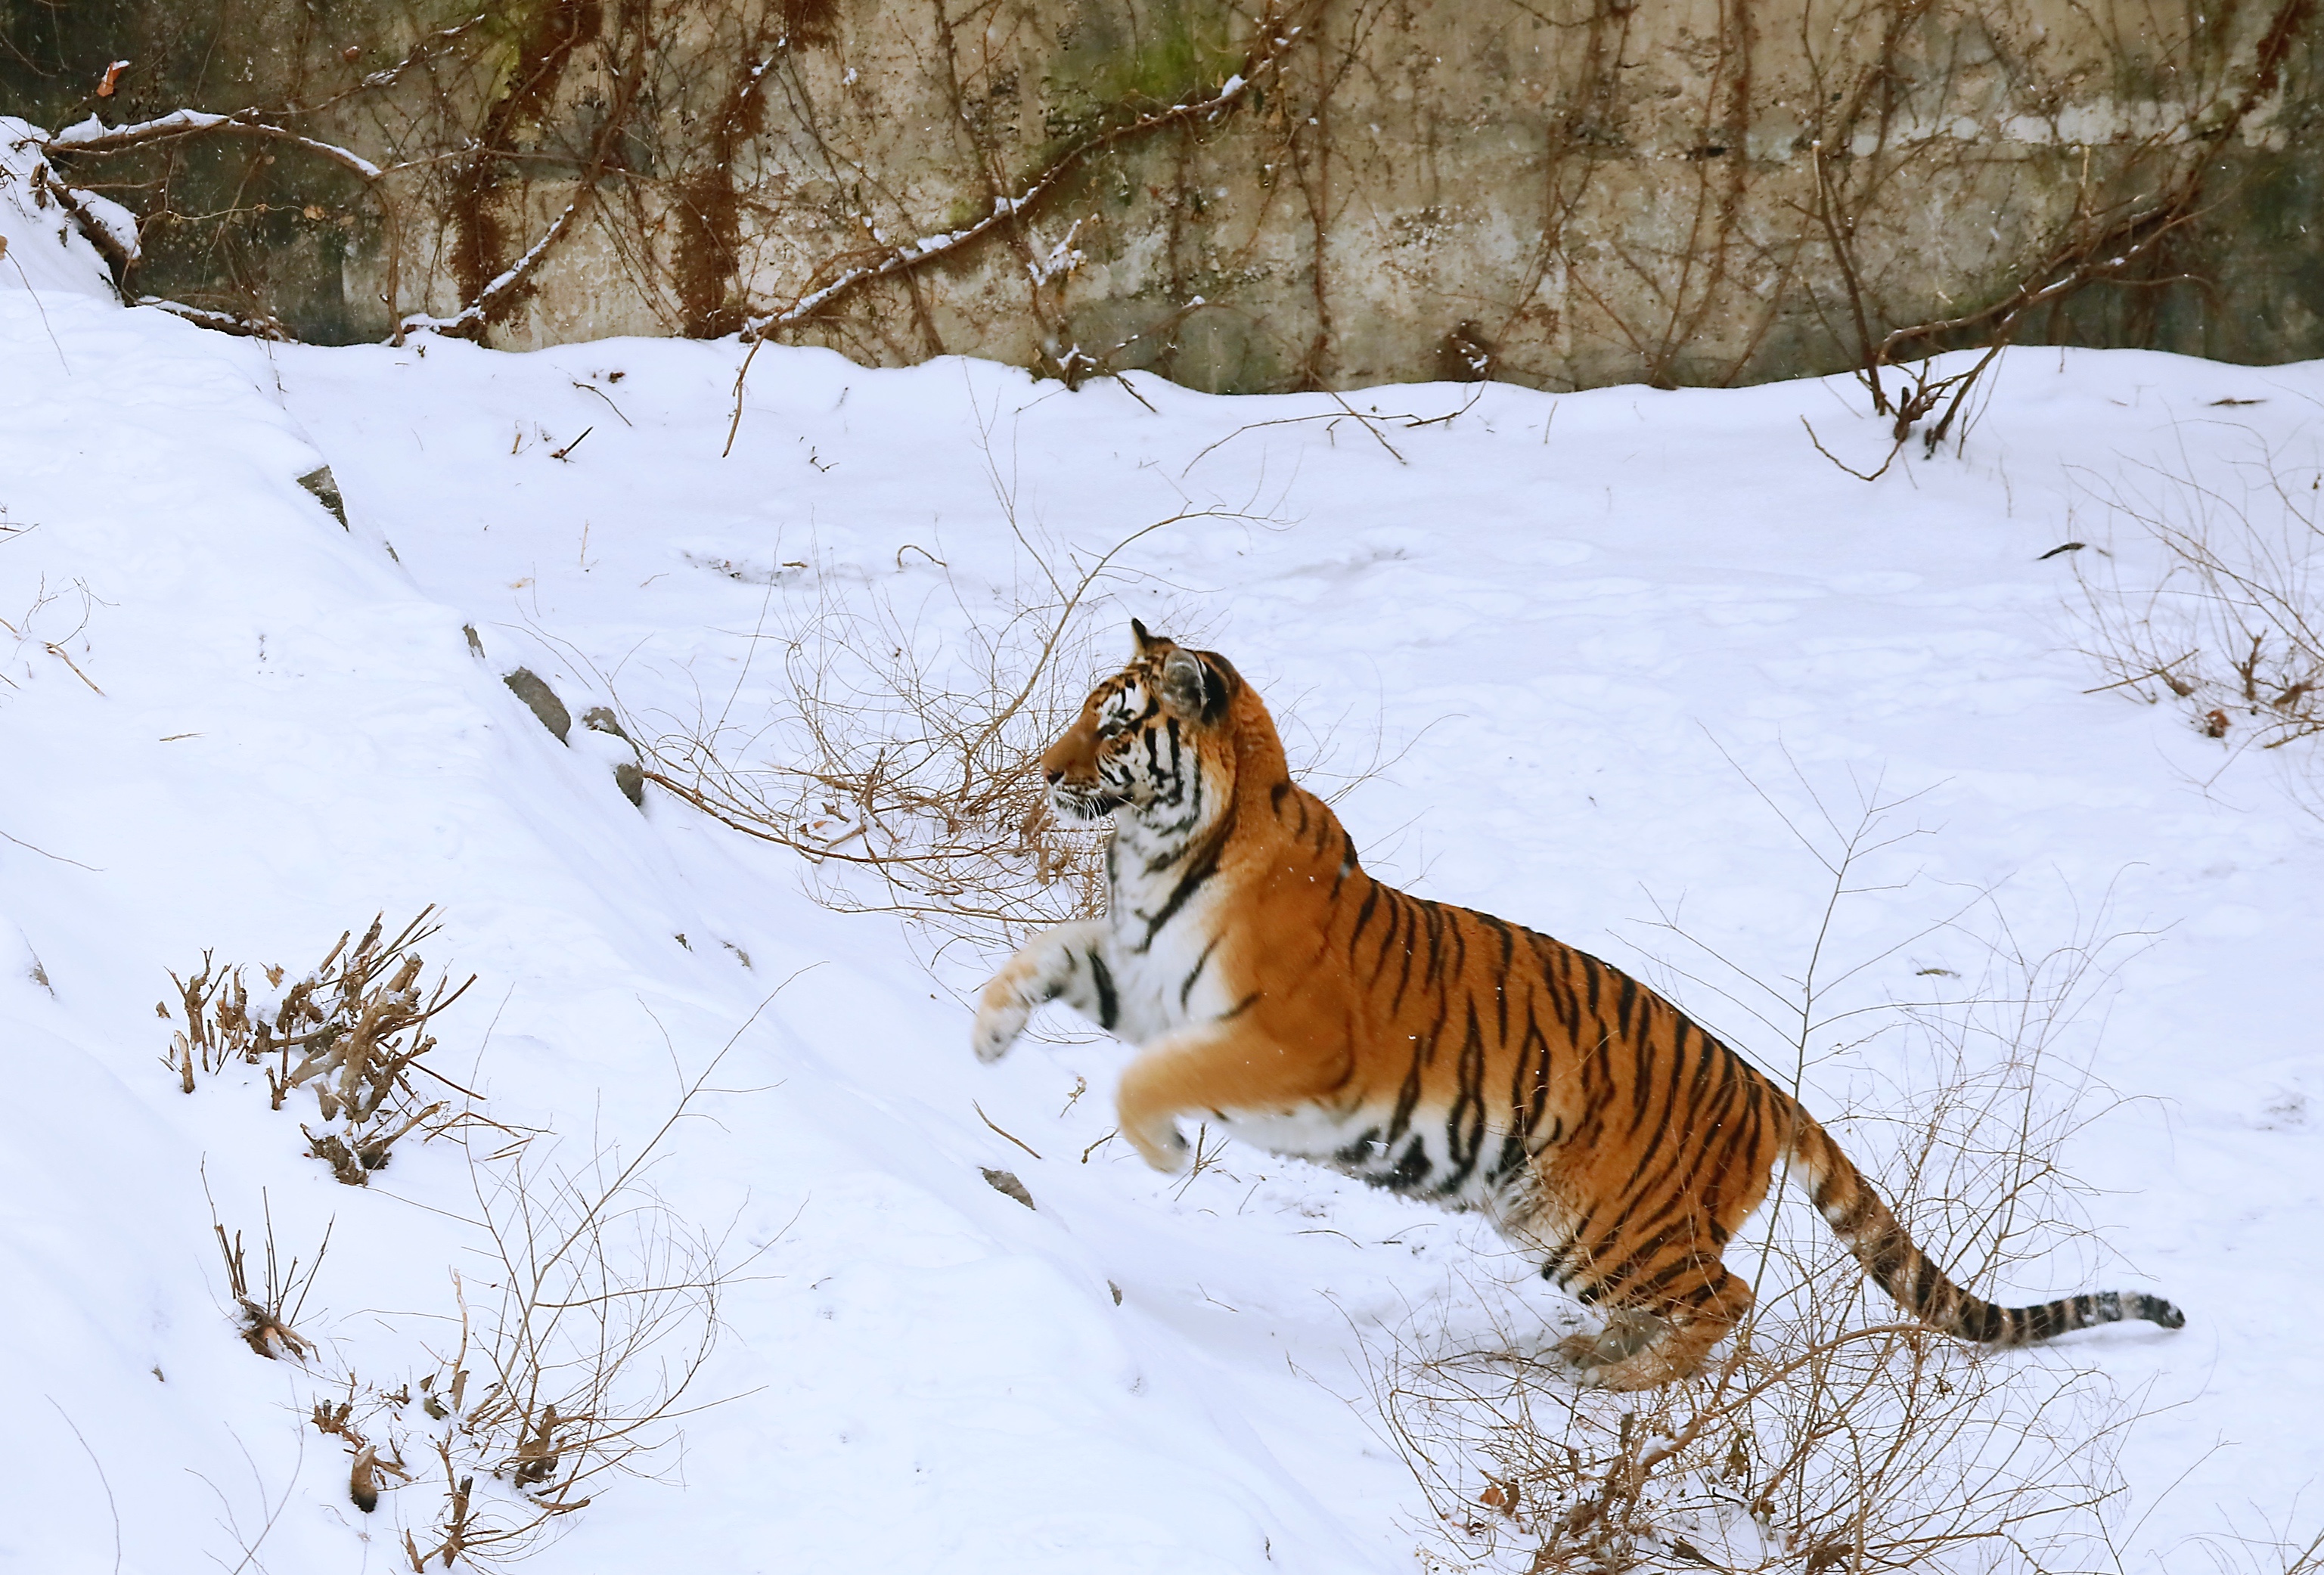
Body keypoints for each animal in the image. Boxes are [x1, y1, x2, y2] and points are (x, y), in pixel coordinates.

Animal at [971, 627, 2184, 1394]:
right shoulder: (1142, 973)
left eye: (1114, 727)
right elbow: (1048, 952)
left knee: (1727, 1295)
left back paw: (1625, 1380)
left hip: (1604, 1216)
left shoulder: (1279, 1044)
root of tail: (1765, 1087)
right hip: (1555, 1214)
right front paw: (985, 1028)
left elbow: (1147, 1079)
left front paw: (1162, 1150)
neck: (1164, 850)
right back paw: (1595, 1357)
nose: (1044, 771)